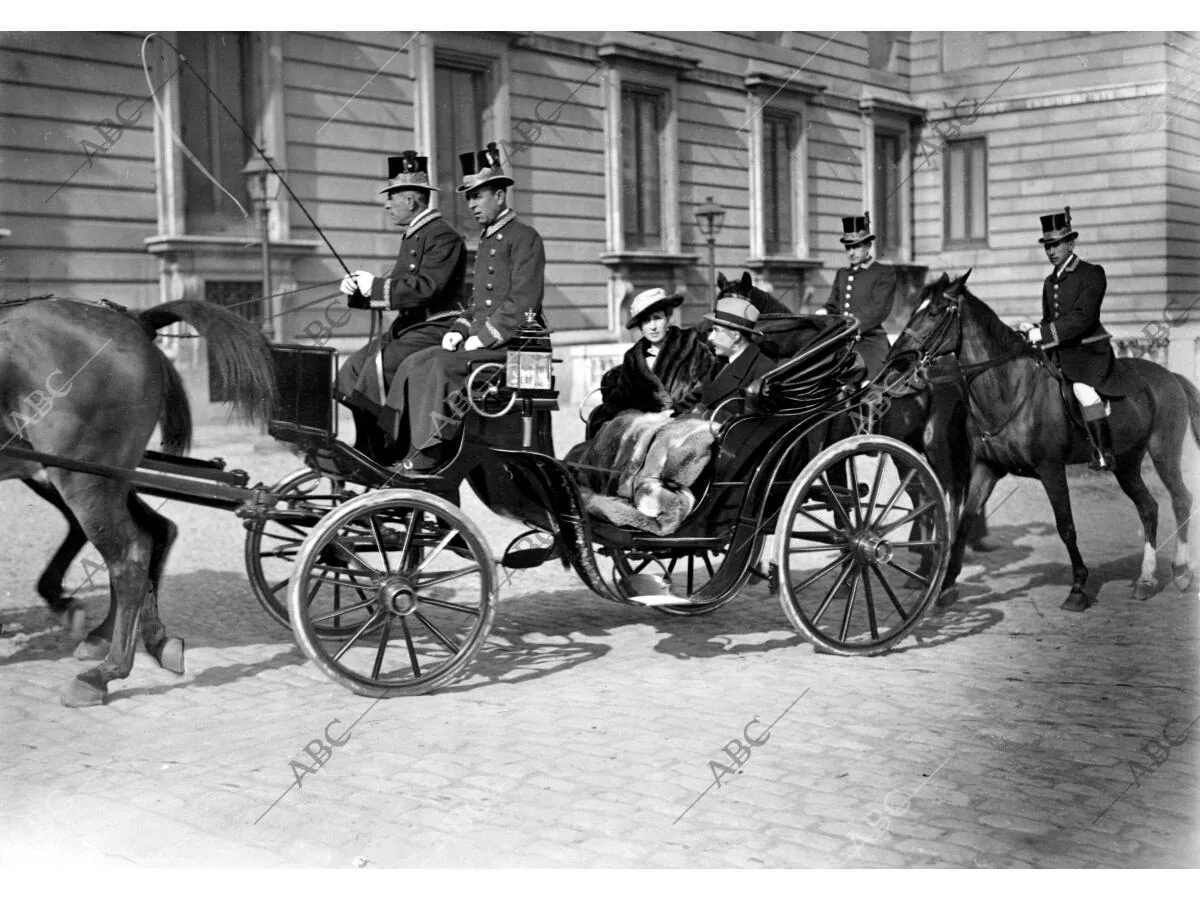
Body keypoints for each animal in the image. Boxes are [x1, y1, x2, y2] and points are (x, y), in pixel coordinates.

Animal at [0, 300, 274, 710]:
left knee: (129, 554)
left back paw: (102, 673)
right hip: (93, 476)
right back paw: (136, 640)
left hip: (82, 476)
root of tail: (134, 320)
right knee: (152, 535)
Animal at [892, 271, 1200, 609]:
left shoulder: (1051, 468)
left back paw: (1181, 572)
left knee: (1180, 499)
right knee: (1148, 507)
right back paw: (1146, 579)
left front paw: (1078, 587)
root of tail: (1171, 376)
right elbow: (963, 521)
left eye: (934, 312)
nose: (898, 359)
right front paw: (945, 586)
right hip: (1126, 463)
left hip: (1163, 452)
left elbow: (1065, 526)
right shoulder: (986, 468)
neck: (1009, 389)